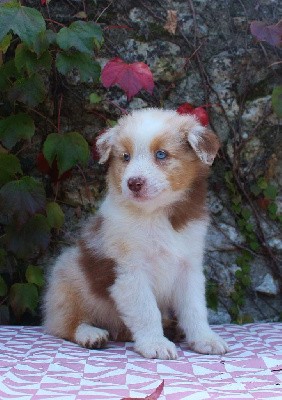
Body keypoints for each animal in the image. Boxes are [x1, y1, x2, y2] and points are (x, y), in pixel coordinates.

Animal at [43, 108, 229, 360]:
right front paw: (155, 344)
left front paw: (205, 339)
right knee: (64, 324)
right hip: (66, 280)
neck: (154, 214)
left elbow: (195, 308)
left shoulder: (188, 267)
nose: (134, 183)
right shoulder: (130, 271)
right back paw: (91, 334)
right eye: (125, 157)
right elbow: (146, 311)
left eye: (161, 154)